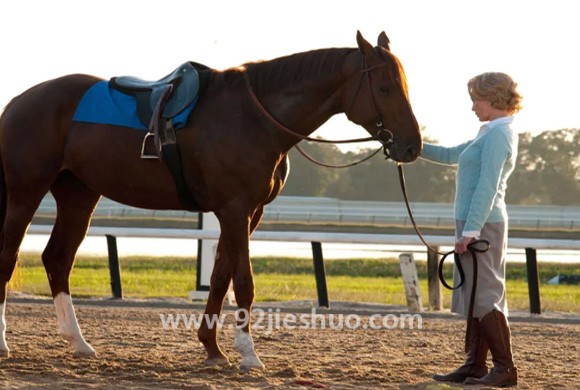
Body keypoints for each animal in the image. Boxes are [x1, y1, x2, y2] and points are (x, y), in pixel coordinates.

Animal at [0, 31, 420, 368]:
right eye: (385, 88)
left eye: (404, 86)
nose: (412, 146)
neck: (256, 117)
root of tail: (21, 99)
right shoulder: (235, 210)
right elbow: (243, 281)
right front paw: (248, 354)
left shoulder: (248, 214)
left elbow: (220, 277)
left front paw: (212, 348)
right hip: (25, 194)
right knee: (9, 257)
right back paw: (4, 343)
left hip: (78, 196)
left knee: (57, 259)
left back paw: (79, 342)